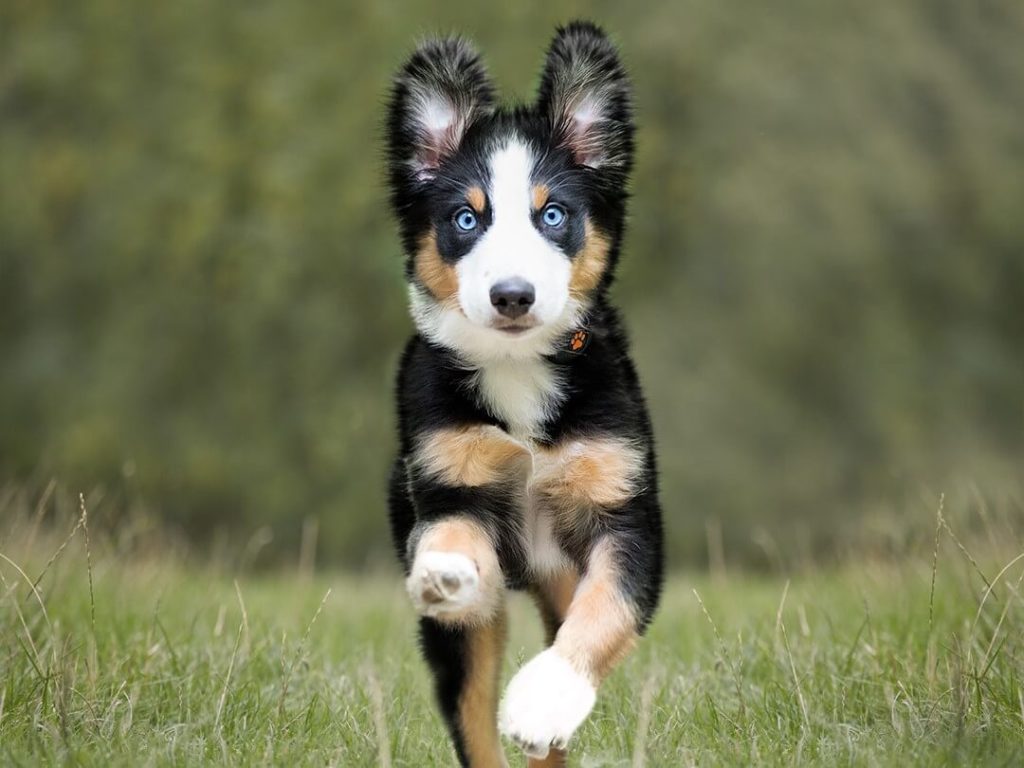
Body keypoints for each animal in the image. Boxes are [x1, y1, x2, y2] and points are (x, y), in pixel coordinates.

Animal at [385, 20, 663, 765]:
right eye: (466, 220)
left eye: (554, 215)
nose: (513, 295)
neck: (516, 370)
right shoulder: (451, 483)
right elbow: (450, 535)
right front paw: (448, 569)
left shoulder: (624, 511)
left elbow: (607, 608)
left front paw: (545, 700)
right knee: (473, 714)